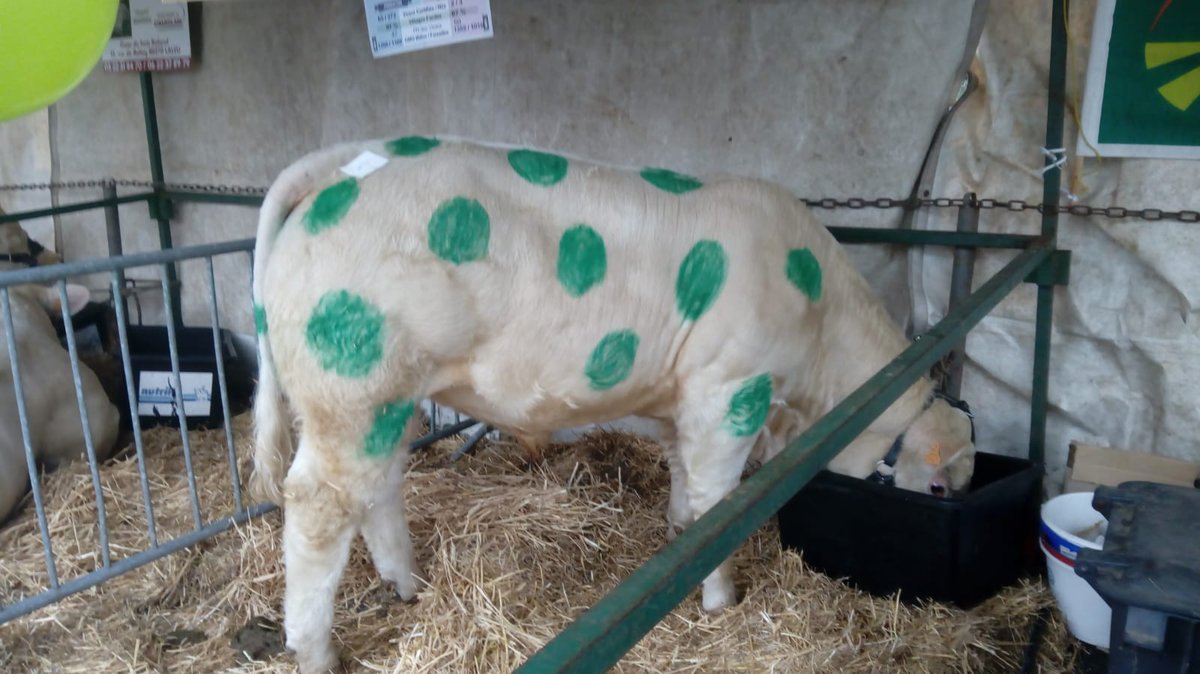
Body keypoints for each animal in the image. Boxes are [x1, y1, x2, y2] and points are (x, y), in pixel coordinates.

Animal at [248, 136, 977, 672]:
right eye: (939, 488)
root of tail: (338, 160)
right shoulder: (729, 385)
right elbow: (721, 498)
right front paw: (720, 598)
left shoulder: (680, 397)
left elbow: (684, 474)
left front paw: (679, 530)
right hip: (351, 384)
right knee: (318, 503)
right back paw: (316, 654)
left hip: (389, 395)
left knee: (380, 486)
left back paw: (408, 586)